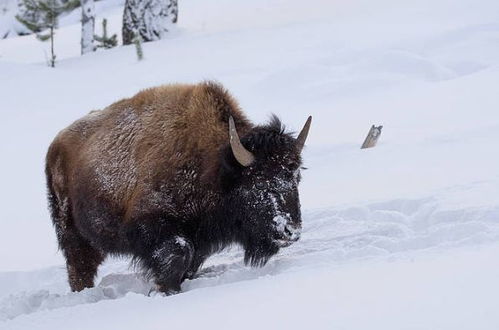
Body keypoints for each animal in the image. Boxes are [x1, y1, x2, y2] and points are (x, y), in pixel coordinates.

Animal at [47, 80, 312, 294]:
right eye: (259, 182)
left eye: (295, 177)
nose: (290, 231)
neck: (214, 166)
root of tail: (56, 144)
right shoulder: (153, 226)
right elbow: (178, 253)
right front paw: (165, 289)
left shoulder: (201, 239)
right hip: (73, 234)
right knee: (80, 266)